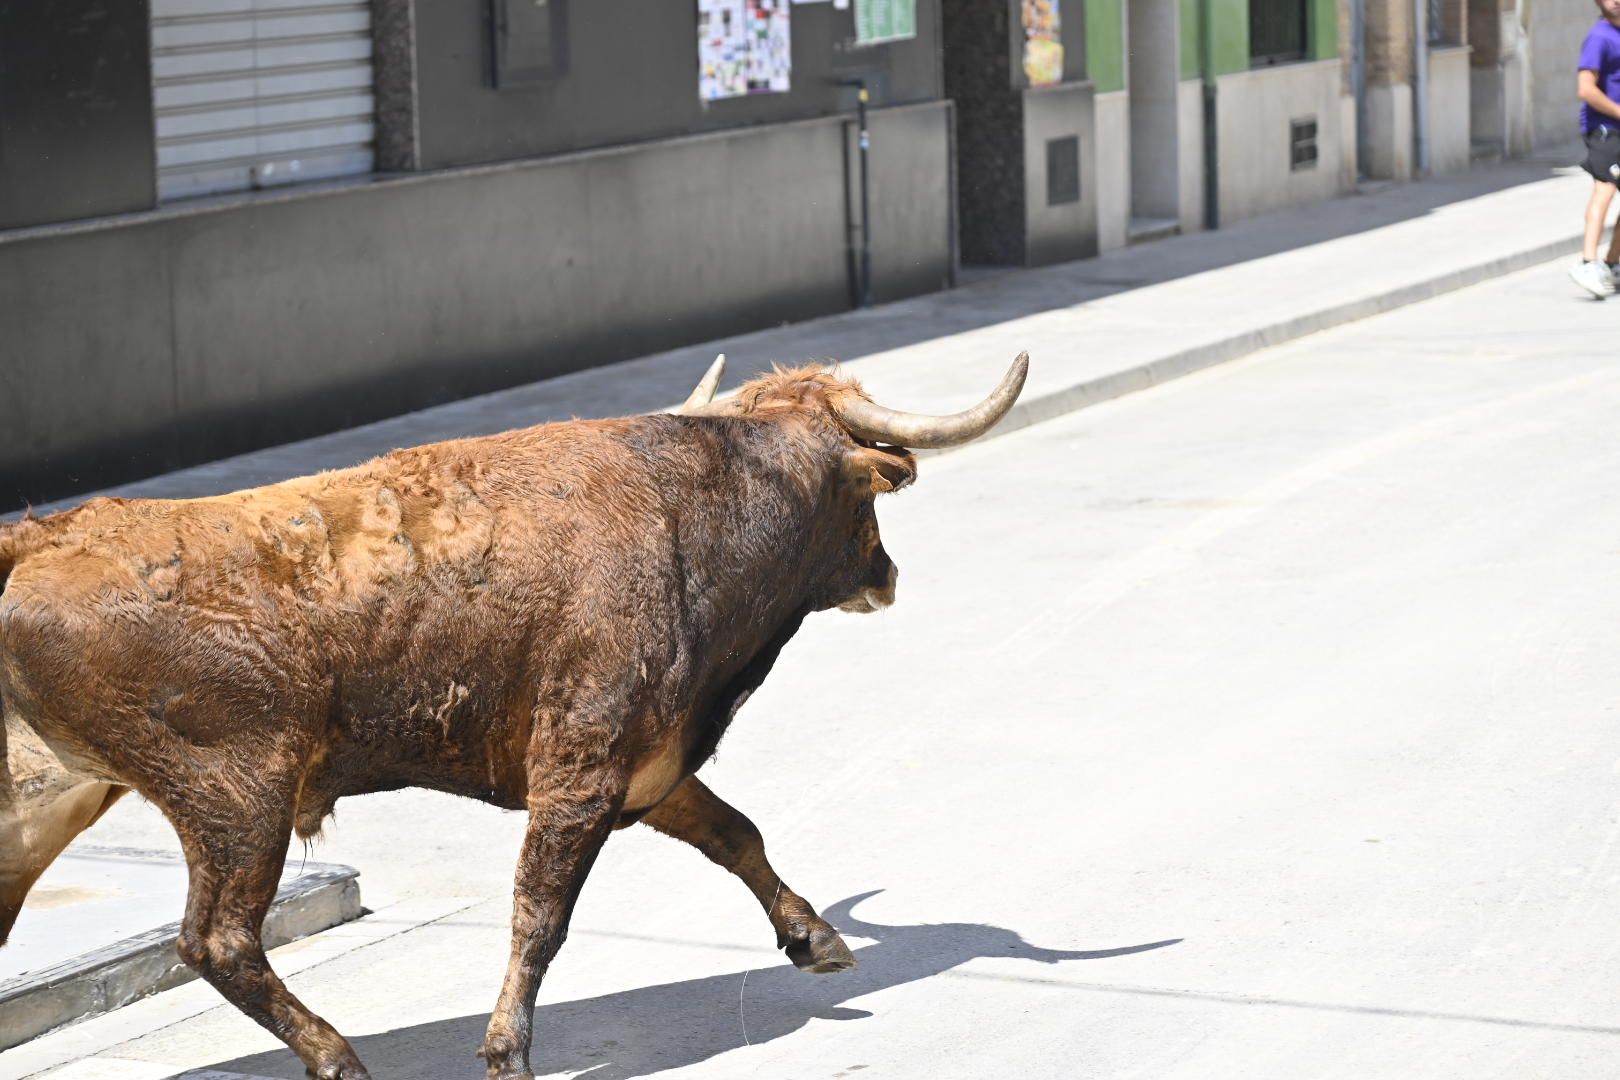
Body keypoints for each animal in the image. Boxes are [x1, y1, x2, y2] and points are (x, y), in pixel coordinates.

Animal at [0, 356, 1023, 1080]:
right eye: (865, 498)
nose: (888, 575)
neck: (691, 512)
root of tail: (45, 533)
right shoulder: (582, 768)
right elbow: (541, 913)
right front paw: (508, 1053)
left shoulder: (650, 764)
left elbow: (737, 834)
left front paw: (813, 938)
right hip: (237, 798)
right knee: (218, 940)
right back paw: (337, 1056)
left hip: (46, 808)